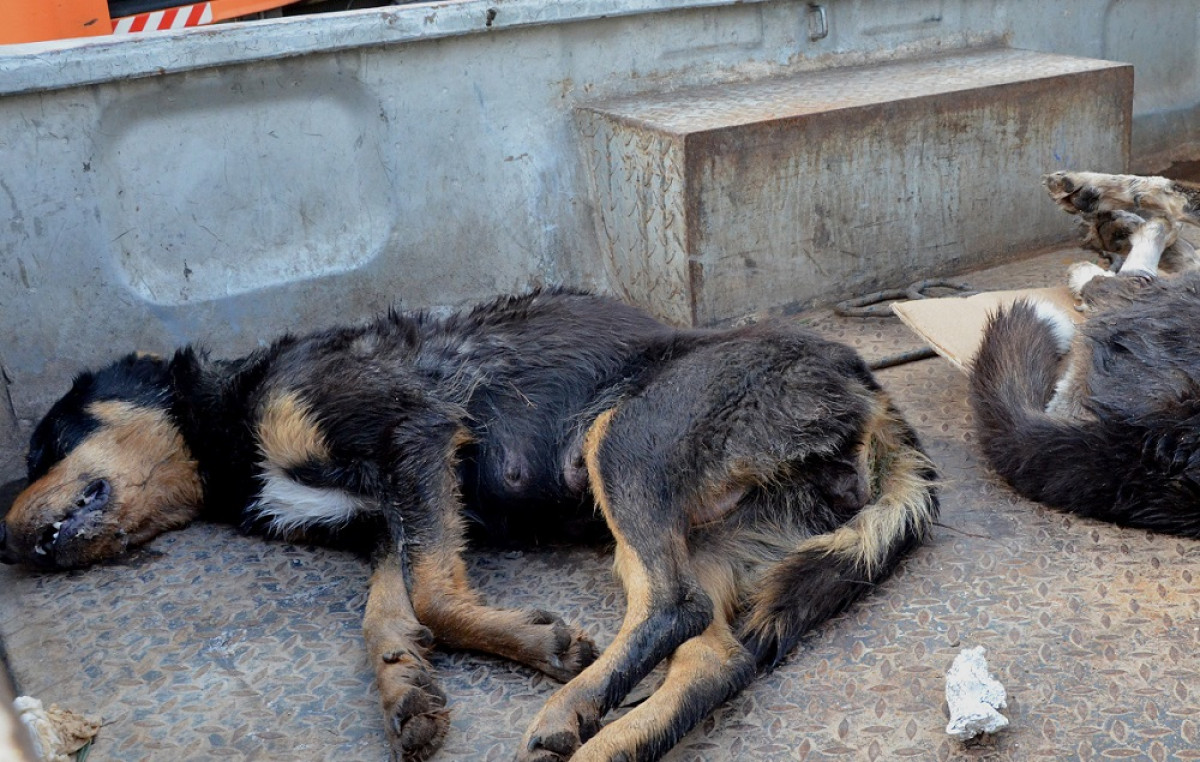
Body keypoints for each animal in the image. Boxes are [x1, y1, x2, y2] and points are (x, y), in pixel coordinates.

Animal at [0, 289, 936, 758]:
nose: (3, 541)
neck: (227, 423)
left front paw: (542, 649)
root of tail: (866, 385)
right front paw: (406, 685)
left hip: (623, 436)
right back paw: (605, 744)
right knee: (715, 654)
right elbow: (393, 611)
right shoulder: (395, 514)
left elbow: (434, 597)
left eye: (47, 438)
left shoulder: (415, 437)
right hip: (701, 524)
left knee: (674, 607)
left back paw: (576, 706)